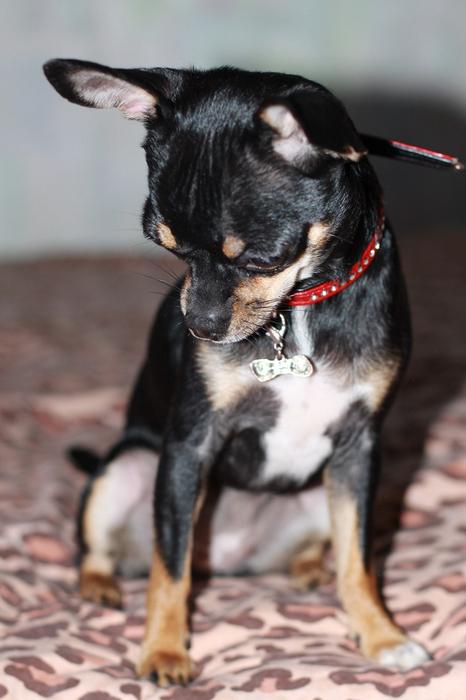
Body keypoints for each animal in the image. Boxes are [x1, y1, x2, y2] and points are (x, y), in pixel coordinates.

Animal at [43, 58, 456, 686]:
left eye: (263, 259)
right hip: (129, 466)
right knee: (106, 549)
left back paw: (309, 569)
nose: (200, 326)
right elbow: (171, 568)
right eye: (166, 246)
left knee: (322, 549)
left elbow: (358, 561)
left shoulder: (359, 450)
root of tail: (232, 558)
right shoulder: (189, 446)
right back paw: (100, 584)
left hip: (315, 491)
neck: (300, 310)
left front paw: (382, 636)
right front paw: (164, 651)